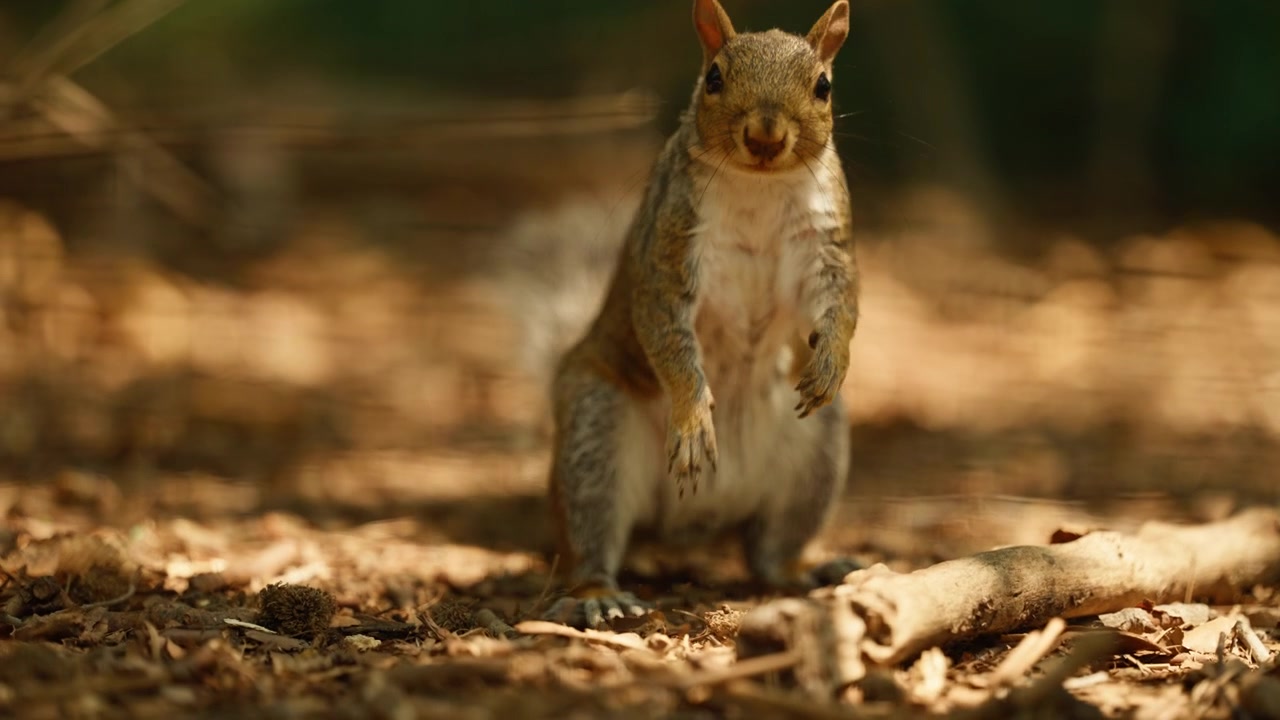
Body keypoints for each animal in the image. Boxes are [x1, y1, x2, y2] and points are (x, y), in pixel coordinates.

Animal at [545, 0, 860, 628]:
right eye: (713, 77)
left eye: (824, 86)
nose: (765, 135)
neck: (759, 185)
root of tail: (695, 524)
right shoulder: (667, 248)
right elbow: (667, 334)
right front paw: (692, 420)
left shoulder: (826, 241)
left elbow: (842, 300)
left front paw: (831, 361)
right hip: (595, 426)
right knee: (590, 531)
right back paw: (596, 593)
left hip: (816, 454)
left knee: (770, 548)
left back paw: (803, 568)